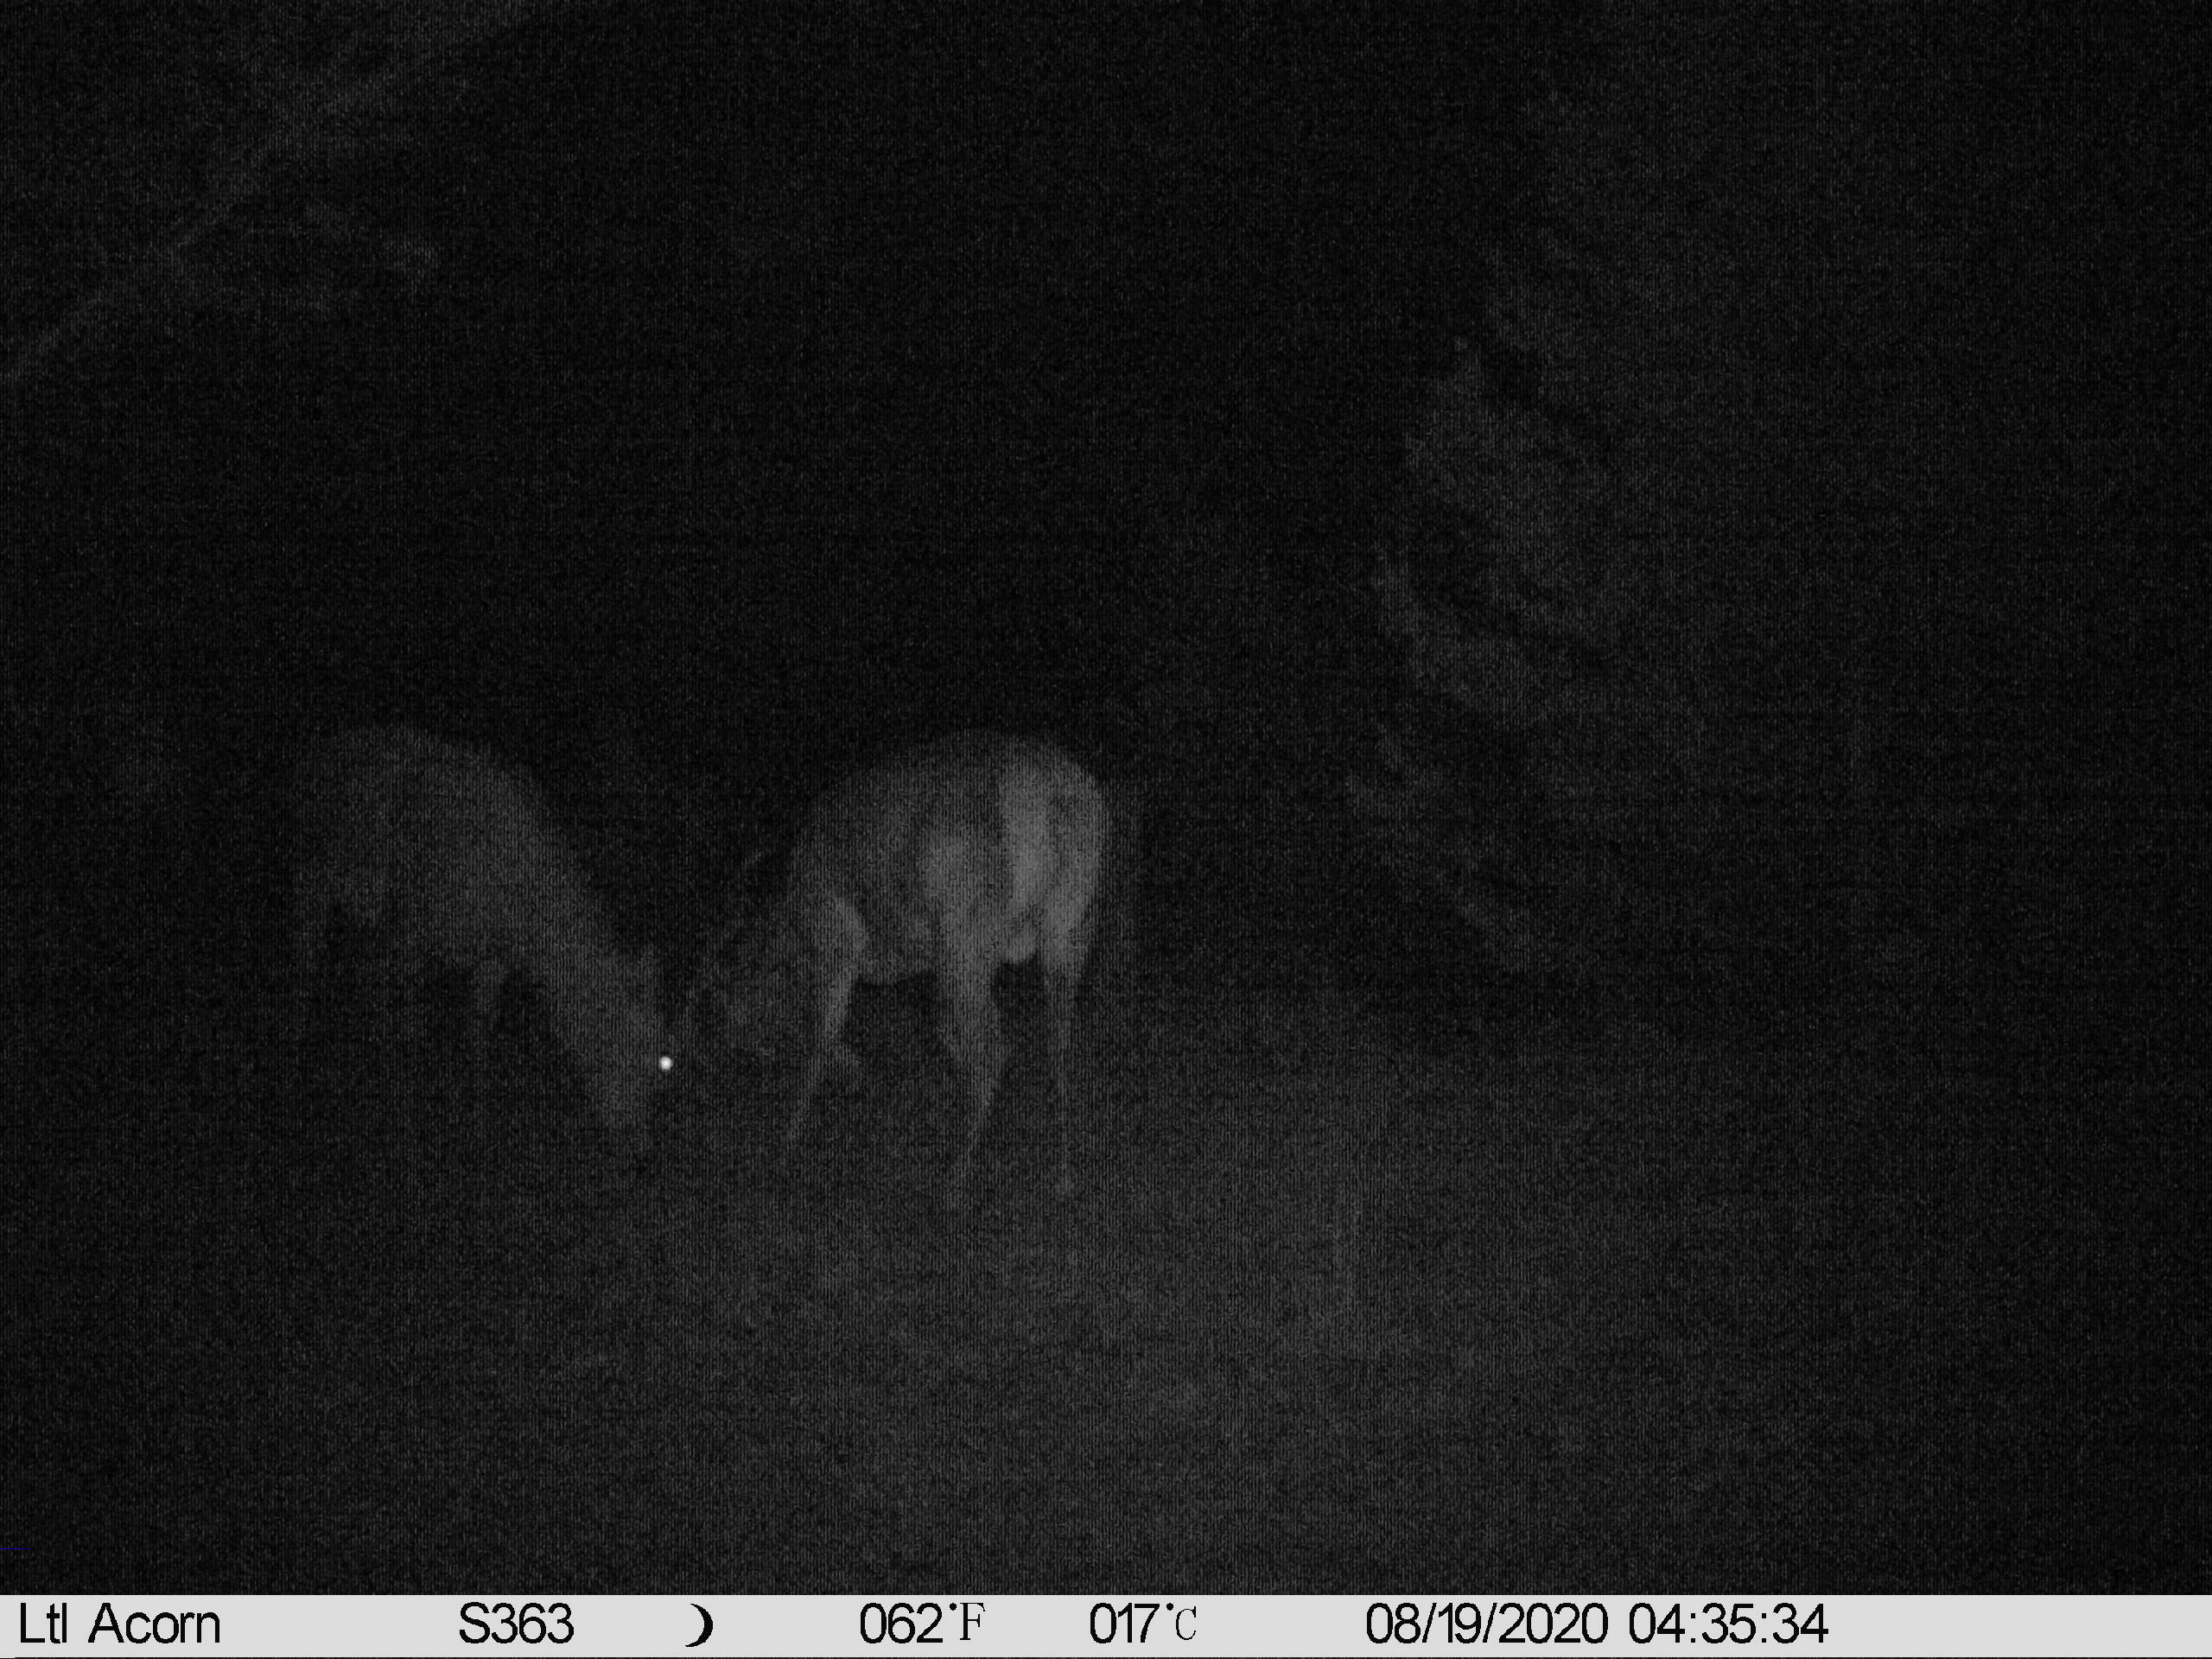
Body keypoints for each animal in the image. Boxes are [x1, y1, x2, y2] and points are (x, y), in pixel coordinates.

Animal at [289, 726, 669, 1160]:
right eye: (615, 1053)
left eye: (659, 1064)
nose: (641, 1149)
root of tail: (315, 755)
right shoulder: (412, 931)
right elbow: (410, 1025)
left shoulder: (489, 962)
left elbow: (476, 1037)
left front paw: (478, 1127)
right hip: (313, 880)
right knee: (309, 961)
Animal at [679, 731, 1108, 1213]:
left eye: (708, 1010)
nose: (697, 1067)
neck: (791, 929)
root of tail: (1054, 797)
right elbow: (928, 1036)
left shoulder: (841, 944)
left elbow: (820, 1036)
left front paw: (783, 1150)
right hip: (1070, 931)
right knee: (1057, 1046)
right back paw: (1062, 1175)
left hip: (965, 940)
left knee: (994, 1050)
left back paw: (952, 1182)